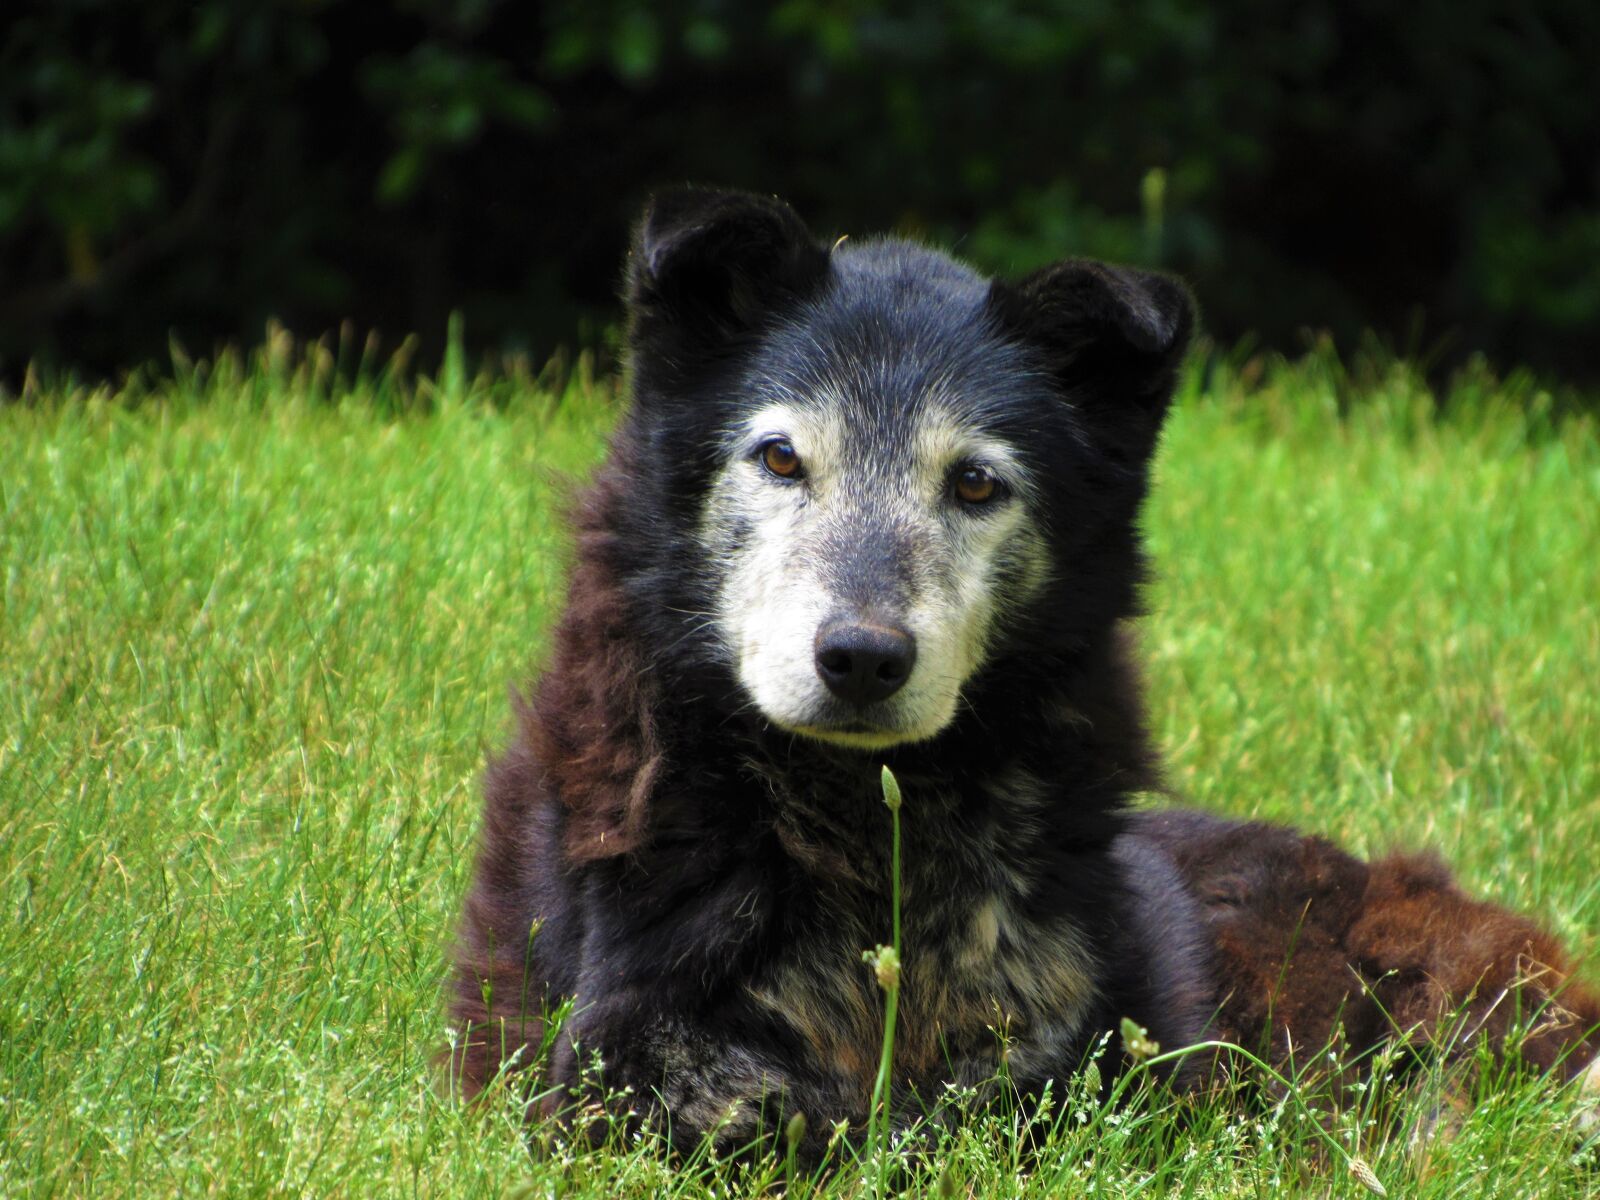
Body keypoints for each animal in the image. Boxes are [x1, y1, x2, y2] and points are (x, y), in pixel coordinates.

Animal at [448, 188, 1600, 1164]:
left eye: (974, 484)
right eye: (779, 458)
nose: (861, 659)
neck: (862, 833)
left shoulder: (1059, 1096)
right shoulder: (621, 1083)